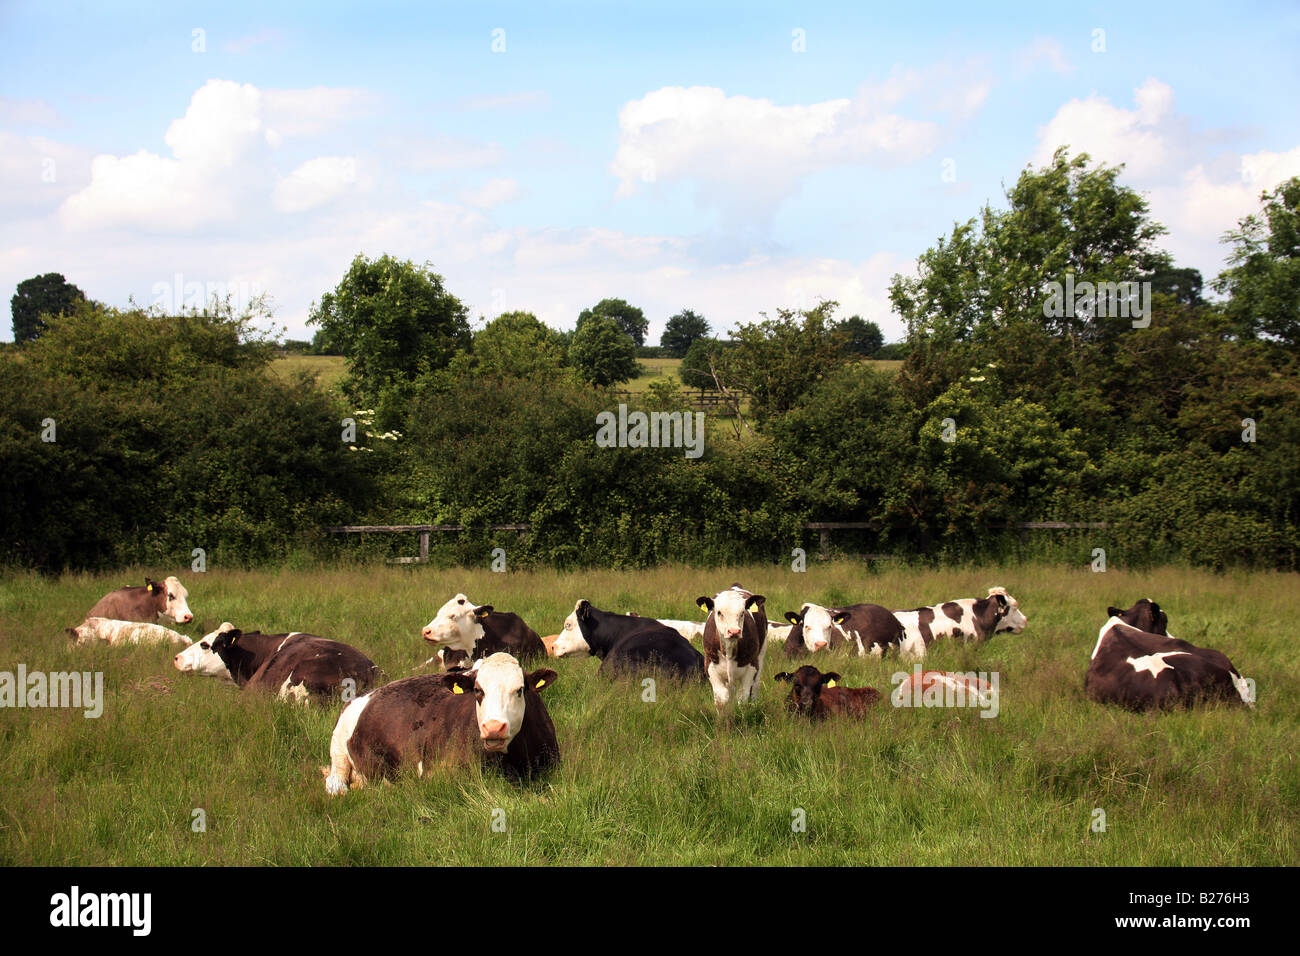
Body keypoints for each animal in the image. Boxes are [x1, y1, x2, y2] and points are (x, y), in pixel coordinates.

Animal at [325, 650, 559, 790]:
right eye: (478, 690)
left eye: (519, 690)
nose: (493, 728)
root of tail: (365, 695)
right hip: (338, 750)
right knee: (336, 782)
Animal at [696, 582, 764, 712]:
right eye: (719, 612)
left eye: (742, 613)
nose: (734, 631)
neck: (729, 649)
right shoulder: (710, 666)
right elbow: (722, 699)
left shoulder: (752, 667)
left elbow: (743, 697)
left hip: (761, 653)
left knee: (756, 684)